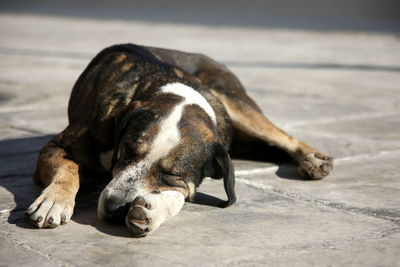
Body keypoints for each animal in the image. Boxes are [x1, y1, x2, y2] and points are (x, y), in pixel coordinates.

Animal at [26, 43, 334, 238]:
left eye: (171, 173)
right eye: (127, 151)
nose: (115, 209)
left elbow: (182, 193)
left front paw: (153, 209)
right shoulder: (58, 145)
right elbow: (70, 167)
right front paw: (55, 200)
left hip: (233, 101)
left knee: (281, 135)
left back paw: (312, 157)